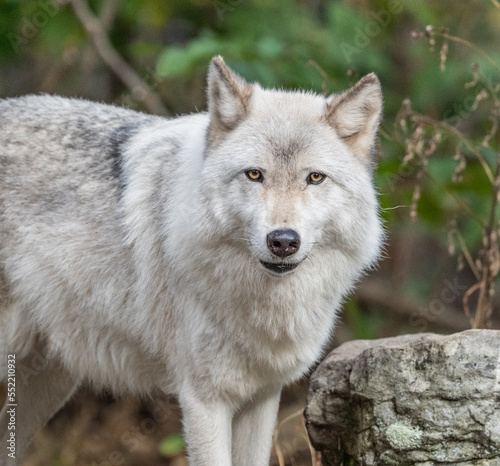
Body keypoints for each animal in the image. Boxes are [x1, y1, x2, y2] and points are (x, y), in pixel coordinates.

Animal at [0, 56, 382, 464]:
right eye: (254, 174)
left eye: (315, 178)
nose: (282, 241)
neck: (262, 305)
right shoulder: (204, 400)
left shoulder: (262, 397)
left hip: (50, 381)